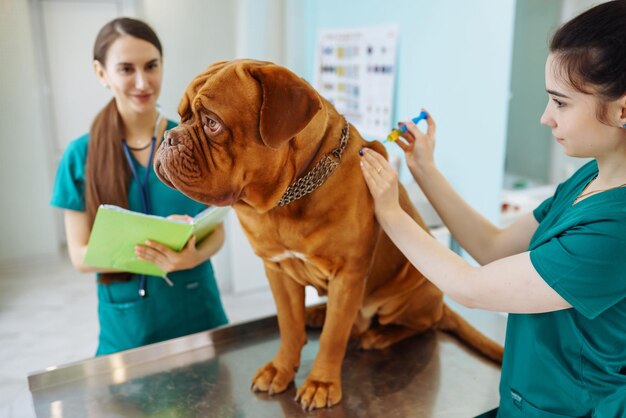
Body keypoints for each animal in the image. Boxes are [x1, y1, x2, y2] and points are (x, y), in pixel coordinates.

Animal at [155, 59, 502, 412]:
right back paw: (316, 313)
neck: (287, 198)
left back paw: (379, 335)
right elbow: (288, 325)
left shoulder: (348, 275)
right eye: (181, 117)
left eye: (212, 123)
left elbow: (334, 336)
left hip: (407, 294)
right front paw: (281, 368)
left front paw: (321, 383)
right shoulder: (278, 271)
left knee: (415, 324)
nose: (168, 137)